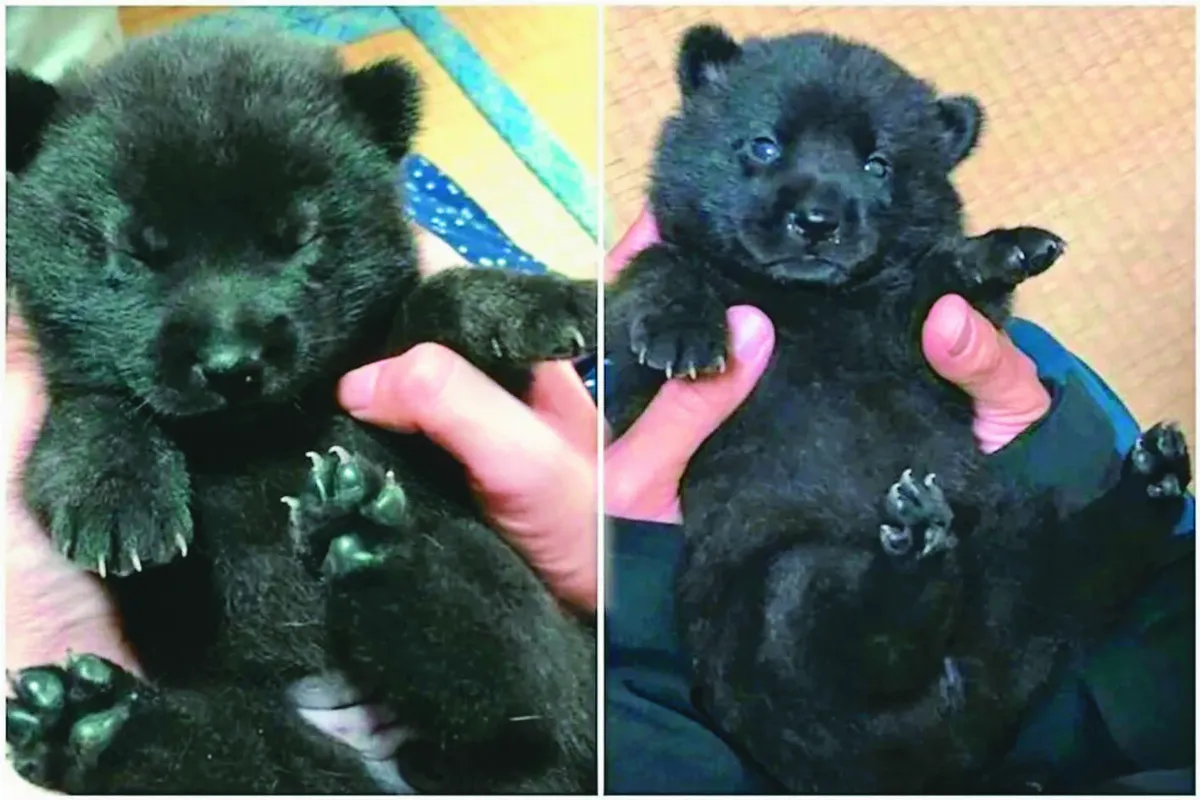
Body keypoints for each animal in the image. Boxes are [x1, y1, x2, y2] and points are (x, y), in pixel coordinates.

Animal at [5, 28, 596, 794]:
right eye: (137, 251)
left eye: (297, 238)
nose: (231, 363)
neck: (252, 436)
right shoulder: (75, 395)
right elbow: (90, 411)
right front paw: (119, 489)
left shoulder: (425, 408)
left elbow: (427, 313)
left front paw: (521, 302)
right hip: (267, 740)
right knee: (236, 754)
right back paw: (91, 726)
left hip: (526, 619)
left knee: (513, 676)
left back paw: (366, 538)